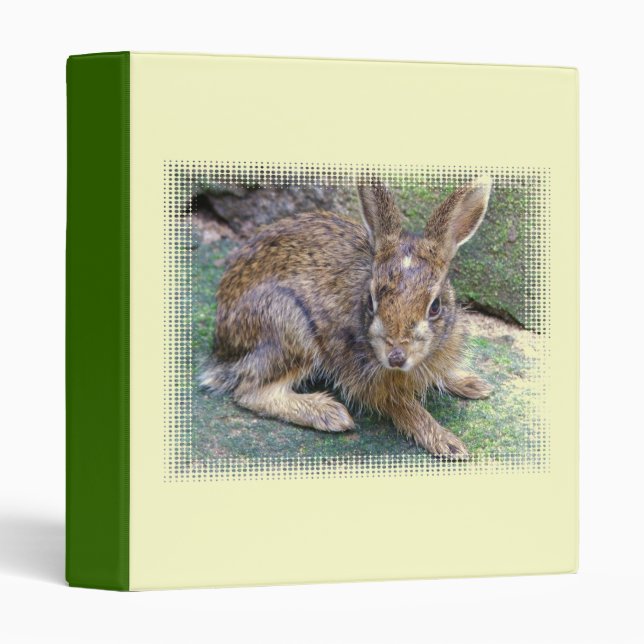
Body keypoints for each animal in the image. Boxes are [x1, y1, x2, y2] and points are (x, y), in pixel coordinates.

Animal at [201, 176, 493, 457]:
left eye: (435, 307)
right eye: (371, 301)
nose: (396, 357)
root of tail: (222, 346)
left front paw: (474, 385)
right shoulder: (368, 380)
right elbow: (405, 407)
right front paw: (447, 443)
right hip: (291, 326)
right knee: (249, 392)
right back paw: (329, 414)